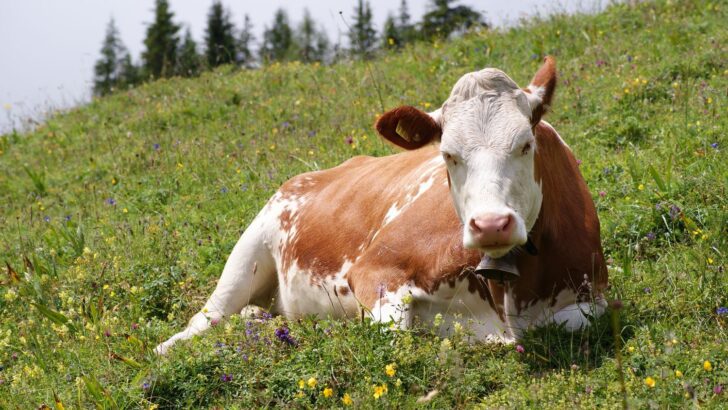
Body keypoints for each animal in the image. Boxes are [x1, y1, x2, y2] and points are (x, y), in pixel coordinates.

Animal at [155, 57, 608, 355]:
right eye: (448, 155)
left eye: (525, 144)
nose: (491, 224)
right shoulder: (375, 270)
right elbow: (395, 333)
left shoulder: (594, 296)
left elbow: (576, 322)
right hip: (249, 250)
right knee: (206, 318)